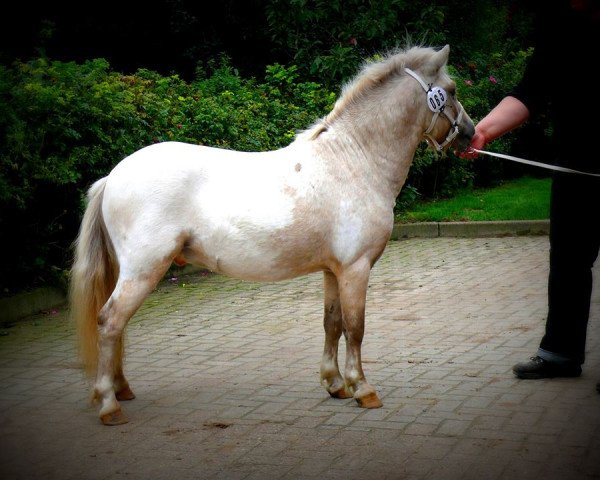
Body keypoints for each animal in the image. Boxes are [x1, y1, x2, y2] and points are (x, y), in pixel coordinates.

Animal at [71, 43, 474, 422]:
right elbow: (355, 328)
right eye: (452, 90)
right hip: (142, 271)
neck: (353, 160)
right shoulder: (356, 268)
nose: (469, 133)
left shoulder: (334, 270)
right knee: (110, 322)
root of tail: (112, 177)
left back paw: (121, 390)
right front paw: (362, 388)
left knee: (118, 326)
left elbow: (332, 324)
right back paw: (109, 404)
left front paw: (335, 384)